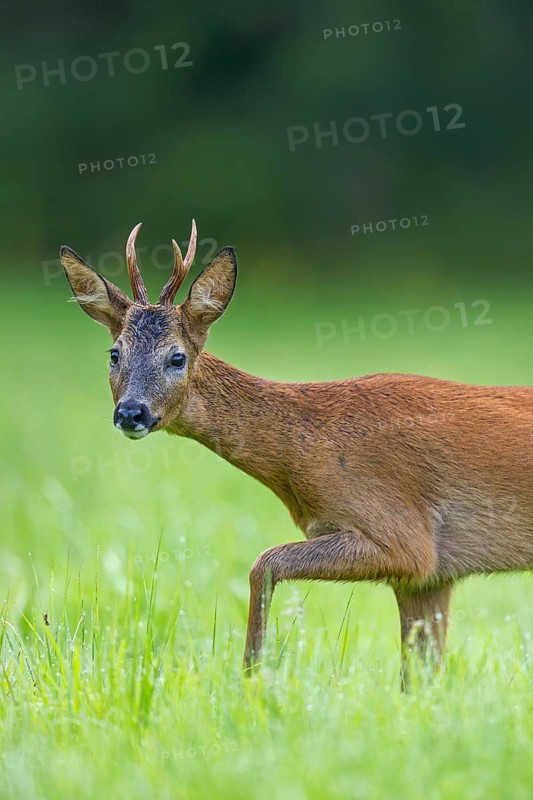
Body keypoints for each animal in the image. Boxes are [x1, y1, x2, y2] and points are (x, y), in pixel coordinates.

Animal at [61, 221, 533, 683]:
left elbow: (263, 563)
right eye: (114, 353)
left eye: (177, 358)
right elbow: (419, 678)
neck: (309, 445)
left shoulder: (406, 542)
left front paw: (253, 675)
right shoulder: (430, 576)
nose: (131, 412)